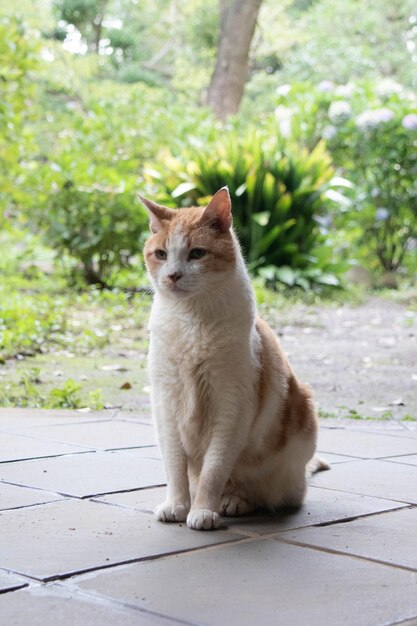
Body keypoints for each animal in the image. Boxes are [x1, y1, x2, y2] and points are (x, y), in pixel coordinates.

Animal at [140, 186, 328, 532]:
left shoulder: (231, 407)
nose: (173, 275)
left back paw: (234, 501)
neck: (191, 321)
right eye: (161, 254)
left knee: (267, 493)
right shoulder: (165, 404)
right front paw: (177, 505)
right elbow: (174, 465)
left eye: (197, 254)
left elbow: (214, 469)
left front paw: (203, 510)